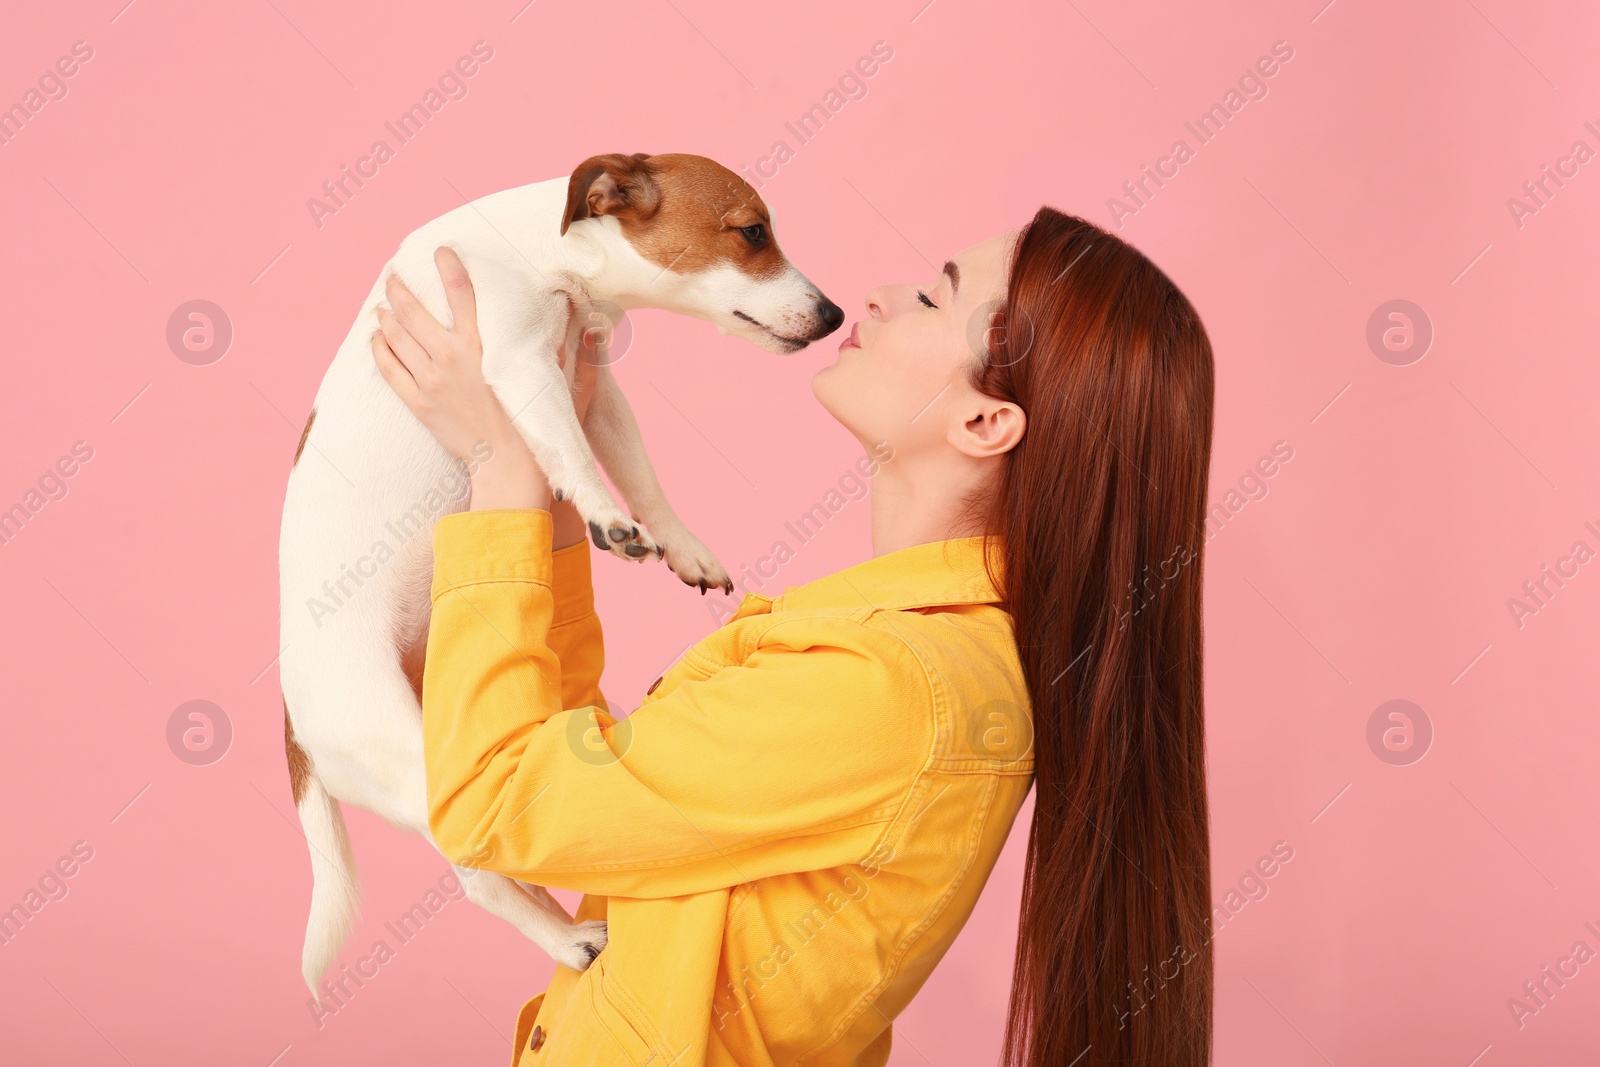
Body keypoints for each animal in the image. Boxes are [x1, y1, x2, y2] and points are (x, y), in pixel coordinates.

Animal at [280, 151, 844, 1004]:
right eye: (752, 232)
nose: (836, 313)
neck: (543, 256)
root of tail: (294, 723)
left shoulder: (596, 388)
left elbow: (639, 470)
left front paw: (679, 544)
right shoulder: (521, 368)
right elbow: (575, 457)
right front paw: (609, 520)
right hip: (415, 762)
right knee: (481, 878)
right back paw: (565, 937)